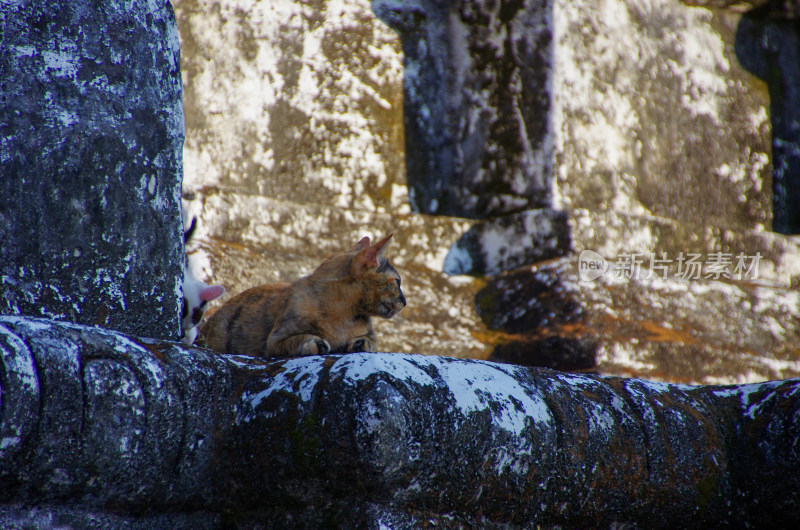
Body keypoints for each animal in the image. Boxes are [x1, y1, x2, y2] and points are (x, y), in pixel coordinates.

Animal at [198, 234, 404, 354]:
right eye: (397, 281)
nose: (405, 301)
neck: (342, 315)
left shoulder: (371, 336)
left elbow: (370, 342)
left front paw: (359, 344)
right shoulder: (275, 341)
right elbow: (297, 339)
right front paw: (316, 343)